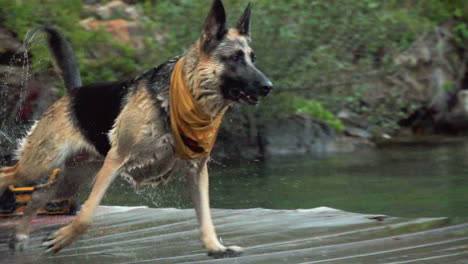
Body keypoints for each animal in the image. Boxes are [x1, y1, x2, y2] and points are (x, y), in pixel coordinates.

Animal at [0, 0, 270, 258]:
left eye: (253, 58)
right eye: (234, 58)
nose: (269, 86)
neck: (186, 96)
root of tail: (73, 92)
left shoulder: (197, 170)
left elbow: (205, 215)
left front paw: (215, 247)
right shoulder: (116, 160)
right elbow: (87, 215)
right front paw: (64, 237)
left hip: (72, 179)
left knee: (38, 194)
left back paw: (19, 236)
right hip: (39, 165)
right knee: (8, 175)